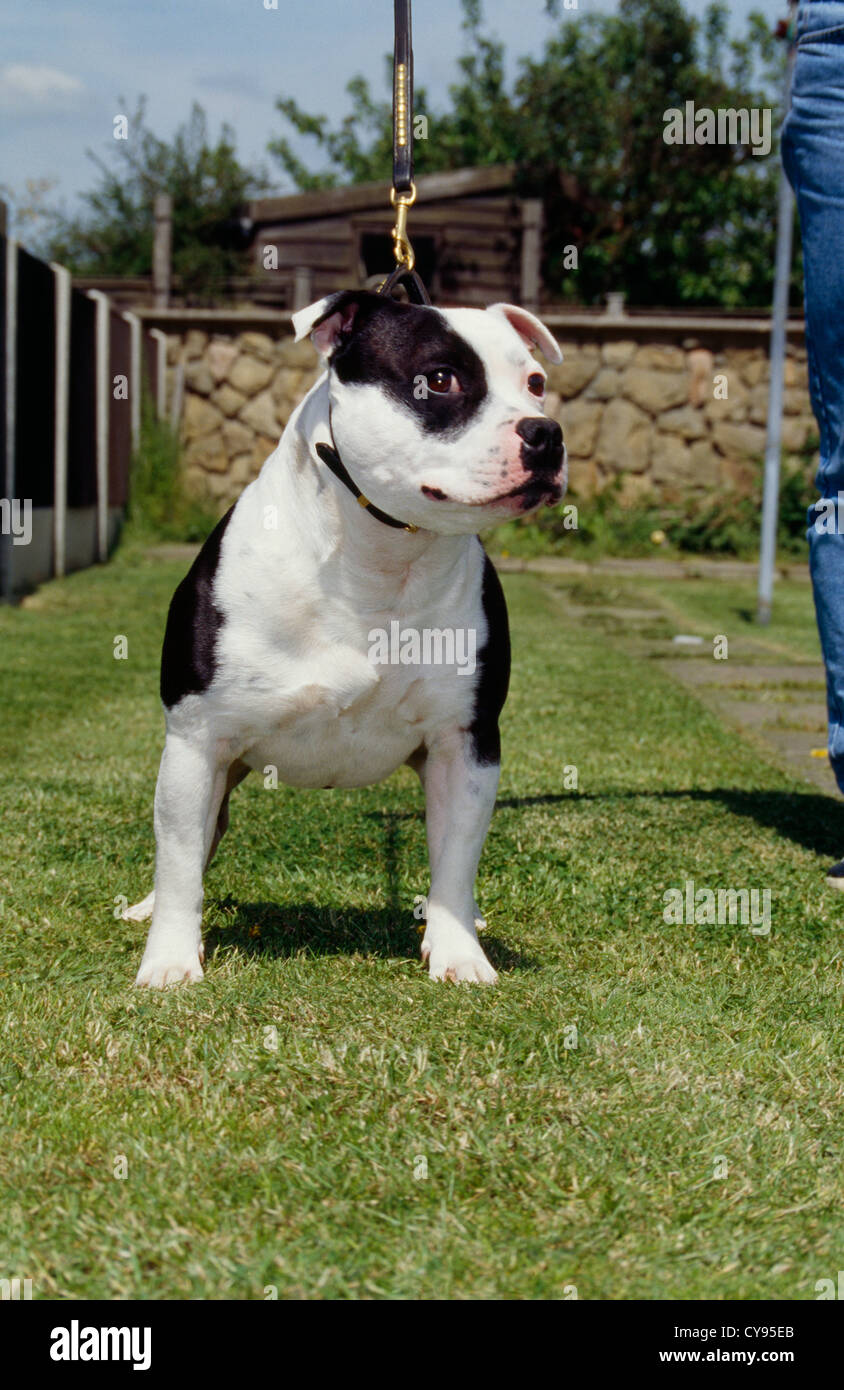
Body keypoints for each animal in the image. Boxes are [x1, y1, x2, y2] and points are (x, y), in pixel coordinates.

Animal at [127, 290, 567, 989]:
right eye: (440, 379)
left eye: (535, 384)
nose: (546, 433)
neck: (379, 559)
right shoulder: (196, 741)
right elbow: (178, 860)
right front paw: (170, 958)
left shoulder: (465, 744)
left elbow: (456, 857)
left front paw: (458, 949)